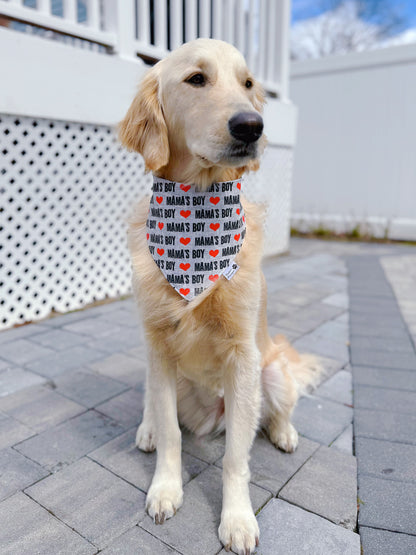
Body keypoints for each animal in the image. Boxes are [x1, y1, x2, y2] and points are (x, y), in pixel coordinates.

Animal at [118, 39, 320, 555]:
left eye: (248, 84)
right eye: (196, 79)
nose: (252, 126)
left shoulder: (243, 356)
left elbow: (235, 458)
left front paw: (238, 520)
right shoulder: (158, 345)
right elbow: (171, 432)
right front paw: (165, 489)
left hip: (272, 370)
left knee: (276, 410)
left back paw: (285, 432)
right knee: (154, 405)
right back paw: (146, 428)